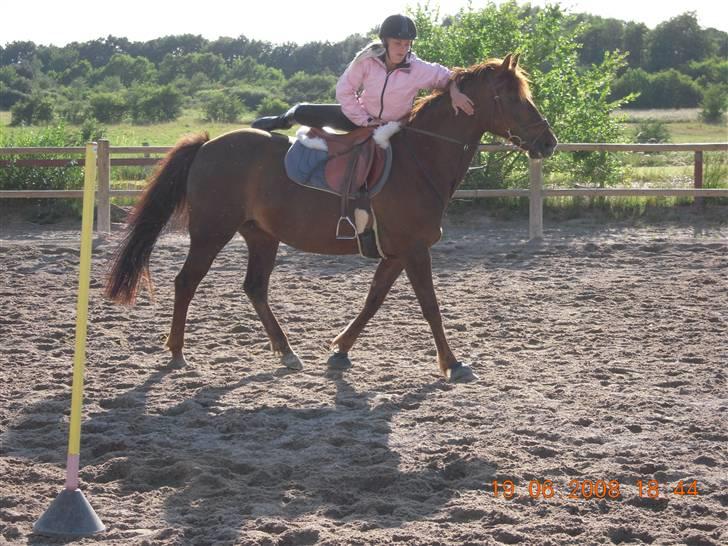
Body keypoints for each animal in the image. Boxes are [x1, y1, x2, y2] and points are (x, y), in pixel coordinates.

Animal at [104, 53, 556, 380]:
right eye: (513, 98)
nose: (548, 141)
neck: (419, 159)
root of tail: (208, 145)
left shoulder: (396, 254)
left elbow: (373, 300)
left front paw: (339, 351)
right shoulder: (415, 251)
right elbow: (430, 306)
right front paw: (453, 364)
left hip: (261, 235)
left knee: (254, 288)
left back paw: (287, 353)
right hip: (211, 232)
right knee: (186, 282)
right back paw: (178, 352)